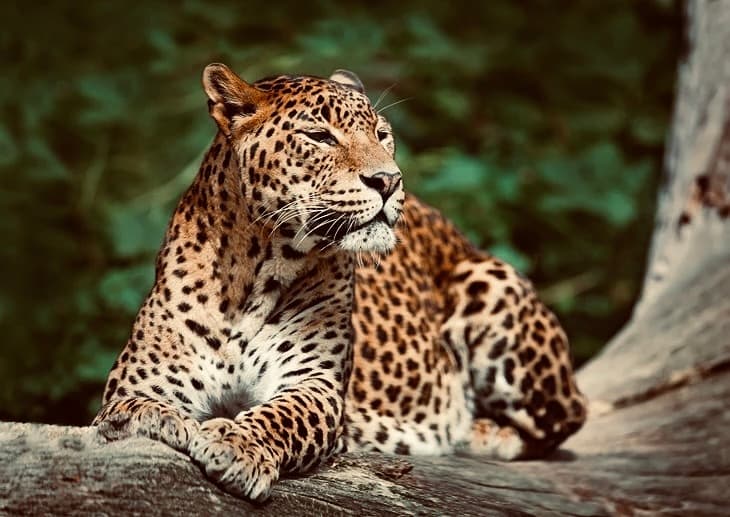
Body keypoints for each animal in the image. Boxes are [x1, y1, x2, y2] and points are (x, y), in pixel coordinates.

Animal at [93, 62, 587, 502]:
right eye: (320, 136)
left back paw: (476, 430)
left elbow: (281, 416)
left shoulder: (316, 383)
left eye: (382, 134)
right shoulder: (139, 381)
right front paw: (160, 421)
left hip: (490, 283)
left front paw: (236, 446)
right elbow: (130, 409)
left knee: (567, 418)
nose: (388, 180)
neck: (257, 268)